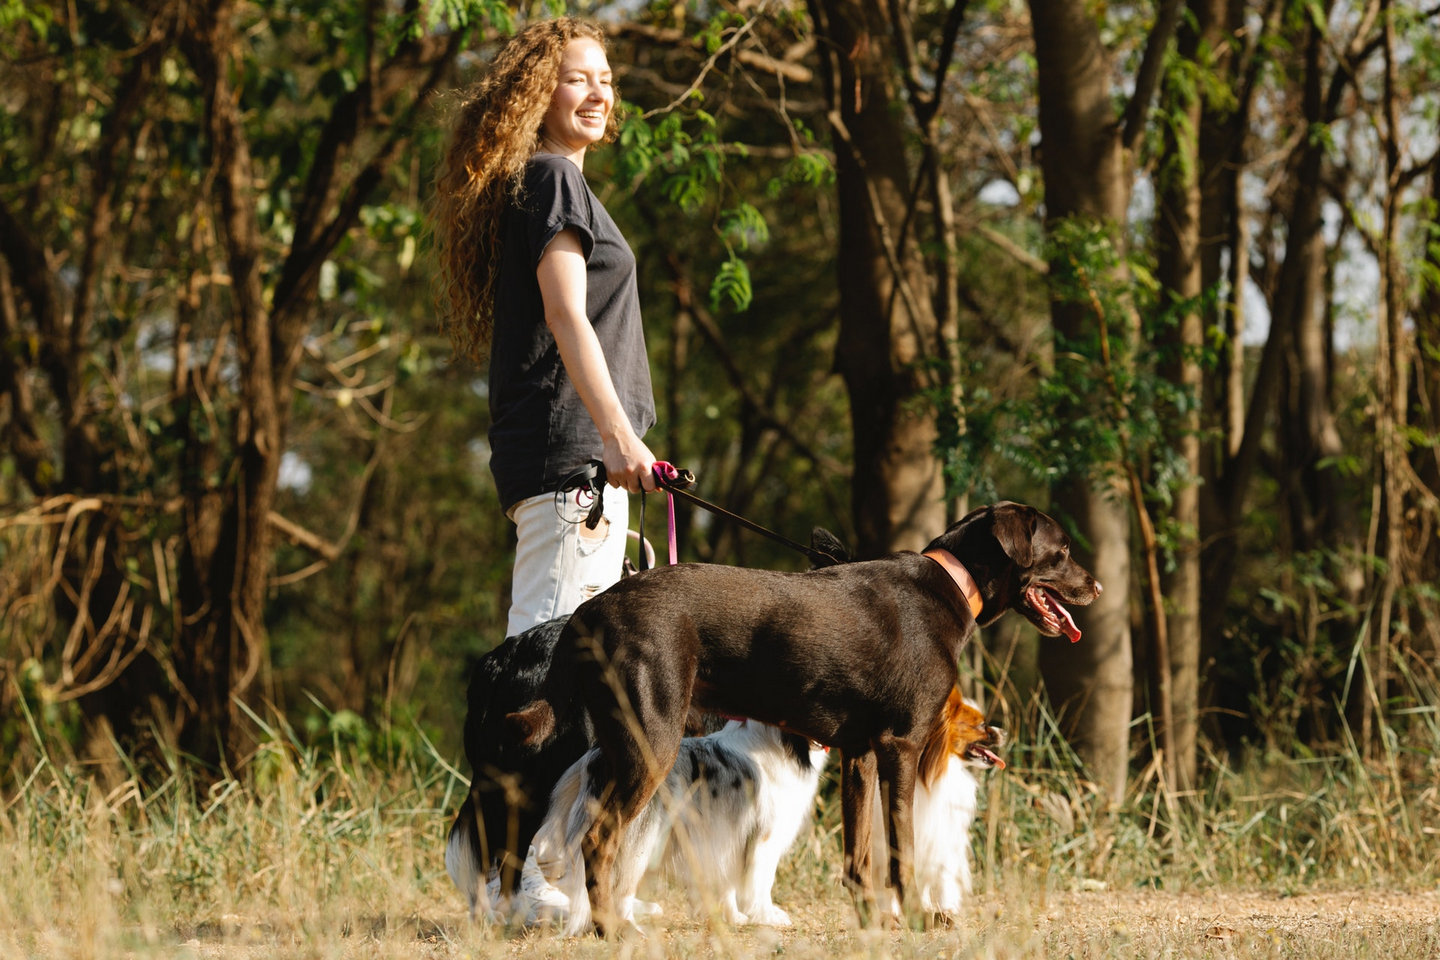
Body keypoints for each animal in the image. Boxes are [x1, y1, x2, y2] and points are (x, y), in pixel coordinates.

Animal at [509, 500, 1100, 932]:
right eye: (1063, 549)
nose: (1095, 586)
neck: (953, 582)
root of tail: (591, 609)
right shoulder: (901, 746)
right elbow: (901, 850)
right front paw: (916, 917)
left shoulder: (860, 753)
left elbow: (859, 857)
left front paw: (872, 921)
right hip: (650, 742)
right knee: (597, 840)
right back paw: (613, 930)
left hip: (618, 745)